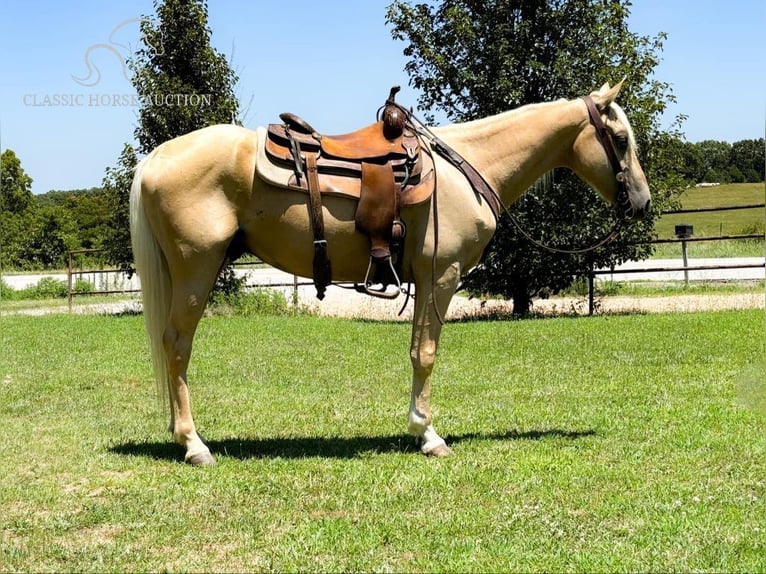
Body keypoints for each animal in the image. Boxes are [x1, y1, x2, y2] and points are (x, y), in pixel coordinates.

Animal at [132, 82, 656, 468]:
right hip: (196, 270)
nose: (643, 203)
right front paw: (428, 434)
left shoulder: (426, 280)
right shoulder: (440, 276)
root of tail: (157, 158)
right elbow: (425, 354)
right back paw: (194, 445)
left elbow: (415, 351)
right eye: (621, 139)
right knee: (176, 347)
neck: (465, 168)